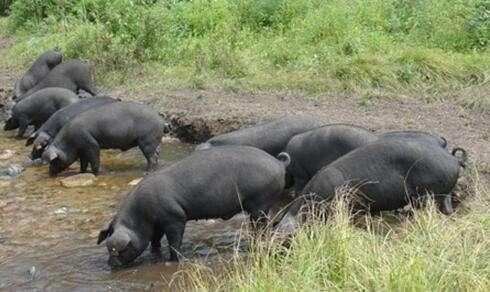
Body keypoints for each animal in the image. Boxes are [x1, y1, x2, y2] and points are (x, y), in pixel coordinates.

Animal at [42, 101, 172, 177]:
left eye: (54, 160)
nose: (49, 174)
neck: (69, 142)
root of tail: (161, 121)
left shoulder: (91, 144)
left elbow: (94, 159)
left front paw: (96, 174)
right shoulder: (83, 150)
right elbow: (84, 162)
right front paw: (81, 172)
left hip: (147, 141)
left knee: (152, 157)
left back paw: (147, 172)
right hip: (154, 141)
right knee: (157, 153)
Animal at [96, 145, 290, 264]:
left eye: (117, 251)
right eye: (108, 248)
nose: (111, 265)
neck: (141, 216)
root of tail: (278, 163)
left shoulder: (175, 217)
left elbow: (174, 241)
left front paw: (173, 260)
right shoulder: (157, 223)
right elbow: (155, 240)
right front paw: (155, 254)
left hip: (260, 202)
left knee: (260, 226)